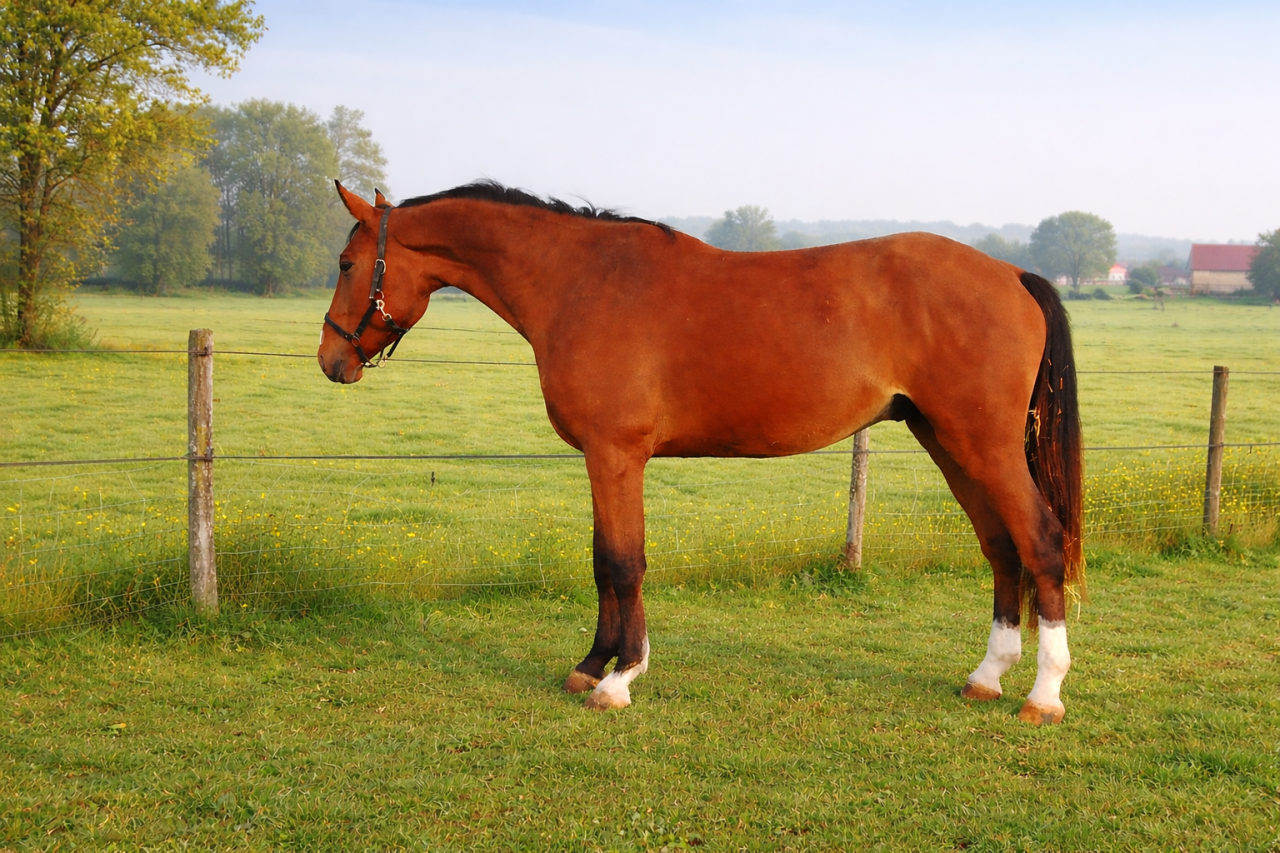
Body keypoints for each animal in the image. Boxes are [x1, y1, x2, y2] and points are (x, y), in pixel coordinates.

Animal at [318, 181, 1084, 725]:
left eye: (348, 262)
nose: (331, 360)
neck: (582, 281)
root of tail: (1012, 273)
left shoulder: (616, 453)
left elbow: (623, 561)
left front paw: (620, 678)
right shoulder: (602, 458)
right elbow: (602, 558)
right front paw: (592, 663)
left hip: (982, 445)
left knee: (1040, 542)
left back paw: (1043, 695)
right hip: (949, 442)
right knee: (1001, 547)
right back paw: (986, 677)